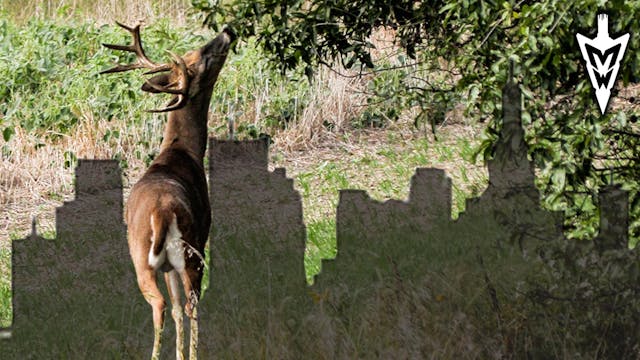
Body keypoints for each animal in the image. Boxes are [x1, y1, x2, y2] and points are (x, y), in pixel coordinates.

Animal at [99, 22, 231, 360]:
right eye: (200, 60)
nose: (227, 31)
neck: (183, 153)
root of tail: (161, 213)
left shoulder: (168, 265)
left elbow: (175, 310)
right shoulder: (204, 228)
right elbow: (182, 307)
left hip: (141, 256)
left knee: (163, 305)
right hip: (191, 249)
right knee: (189, 304)